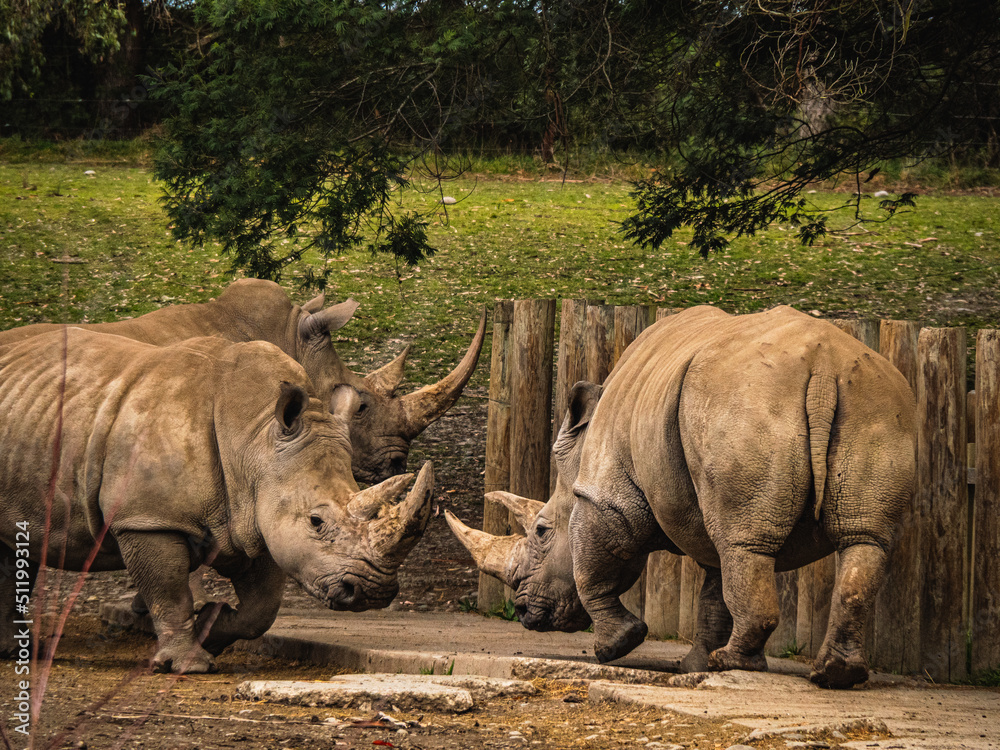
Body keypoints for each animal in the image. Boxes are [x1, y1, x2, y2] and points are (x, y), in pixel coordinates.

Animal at [0, 329, 433, 673]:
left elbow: (262, 609)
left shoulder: (257, 516)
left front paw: (212, 627)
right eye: (316, 522)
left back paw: (15, 652)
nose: (373, 592)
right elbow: (169, 590)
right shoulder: (148, 518)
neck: (255, 438)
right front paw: (189, 665)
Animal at [447, 305, 916, 689]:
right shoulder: (703, 509)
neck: (579, 457)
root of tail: (822, 367)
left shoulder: (601, 499)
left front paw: (615, 648)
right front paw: (695, 667)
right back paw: (834, 675)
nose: (524, 613)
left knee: (745, 545)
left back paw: (735, 663)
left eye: (542, 531)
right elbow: (713, 591)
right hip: (871, 403)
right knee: (861, 540)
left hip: (744, 403)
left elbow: (591, 569)